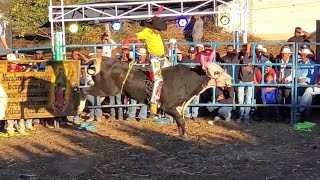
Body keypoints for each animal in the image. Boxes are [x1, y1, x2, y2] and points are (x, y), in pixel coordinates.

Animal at [85, 57, 231, 140]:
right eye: (216, 72)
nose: (230, 79)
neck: (187, 80)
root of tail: (103, 60)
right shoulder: (167, 106)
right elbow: (181, 120)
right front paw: (185, 136)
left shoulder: (178, 107)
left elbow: (180, 120)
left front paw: (181, 134)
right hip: (104, 89)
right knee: (83, 90)